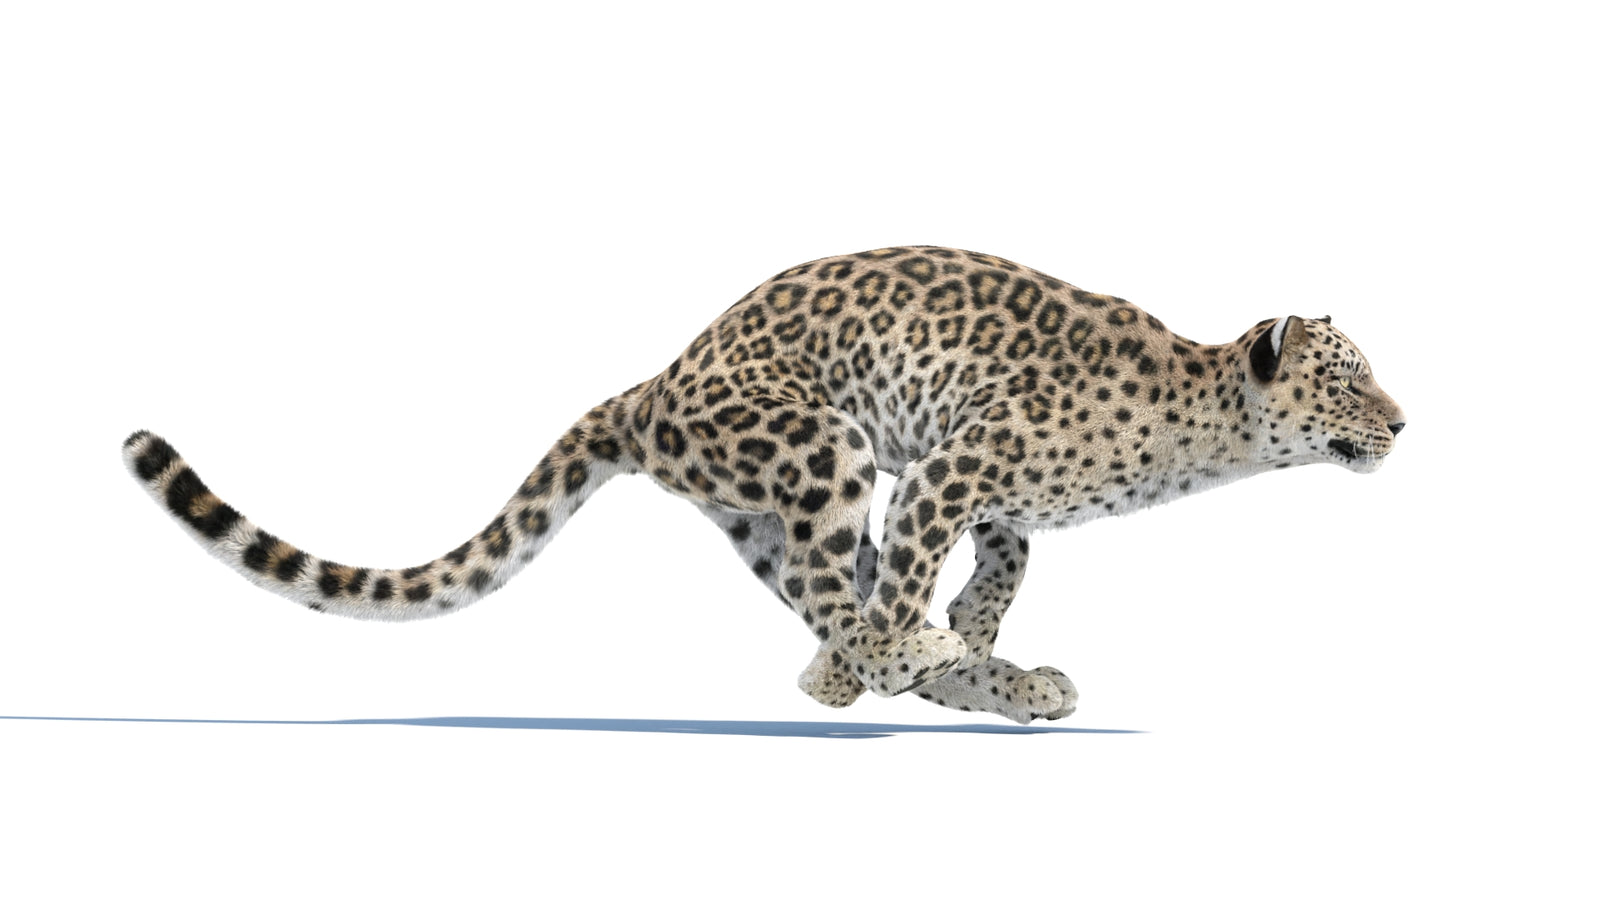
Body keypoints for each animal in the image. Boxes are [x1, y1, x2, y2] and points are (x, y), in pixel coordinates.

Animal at [123, 246, 1406, 723]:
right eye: (1348, 381)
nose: (1402, 423)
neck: (1200, 433)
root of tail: (656, 382)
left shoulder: (986, 500)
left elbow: (999, 565)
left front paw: (986, 647)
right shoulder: (951, 466)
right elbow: (919, 580)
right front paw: (939, 648)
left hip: (759, 510)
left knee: (822, 591)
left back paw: (938, 679)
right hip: (821, 444)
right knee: (848, 595)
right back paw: (887, 672)